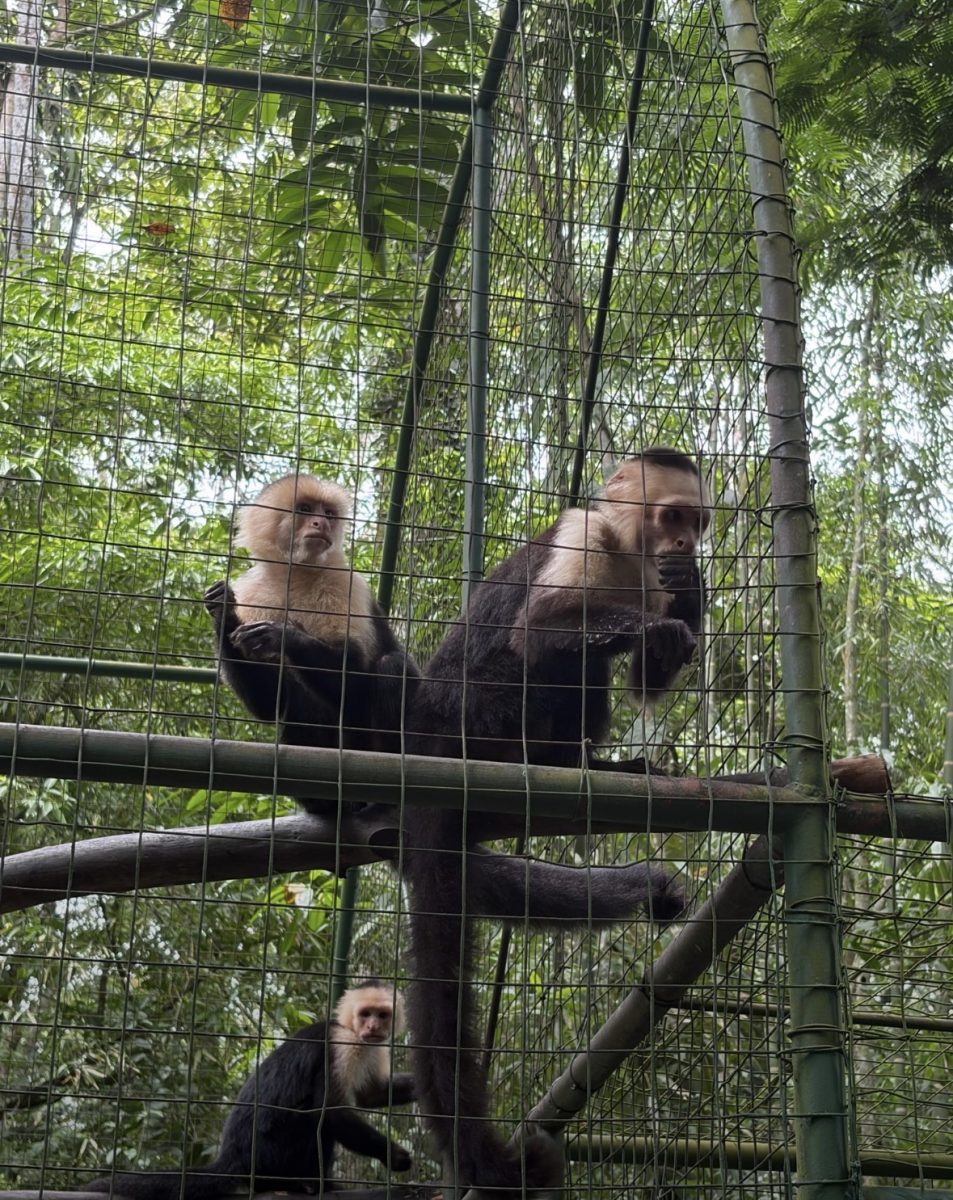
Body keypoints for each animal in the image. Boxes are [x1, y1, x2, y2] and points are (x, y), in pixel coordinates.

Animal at [86, 981, 415, 1200]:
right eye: (366, 1013)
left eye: (382, 1015)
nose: (372, 1027)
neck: (351, 1031)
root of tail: (233, 1156)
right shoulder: (341, 1045)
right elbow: (331, 1112)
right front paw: (394, 1155)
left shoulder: (372, 1048)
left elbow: (371, 1095)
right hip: (271, 1152)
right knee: (311, 1119)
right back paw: (302, 1185)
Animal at [204, 474, 420, 813]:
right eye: (305, 510)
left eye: (328, 513)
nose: (321, 523)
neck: (295, 574)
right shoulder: (254, 591)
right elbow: (269, 704)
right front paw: (224, 613)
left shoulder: (343, 581)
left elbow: (355, 680)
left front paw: (281, 634)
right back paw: (325, 802)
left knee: (392, 665)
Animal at [397, 448, 710, 1193]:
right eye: (672, 516)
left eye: (697, 522)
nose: (686, 546)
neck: (628, 554)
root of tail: (429, 740)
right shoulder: (582, 534)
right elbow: (540, 626)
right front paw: (661, 624)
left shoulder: (647, 578)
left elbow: (649, 678)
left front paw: (693, 590)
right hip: (484, 714)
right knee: (553, 656)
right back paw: (554, 763)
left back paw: (599, 763)